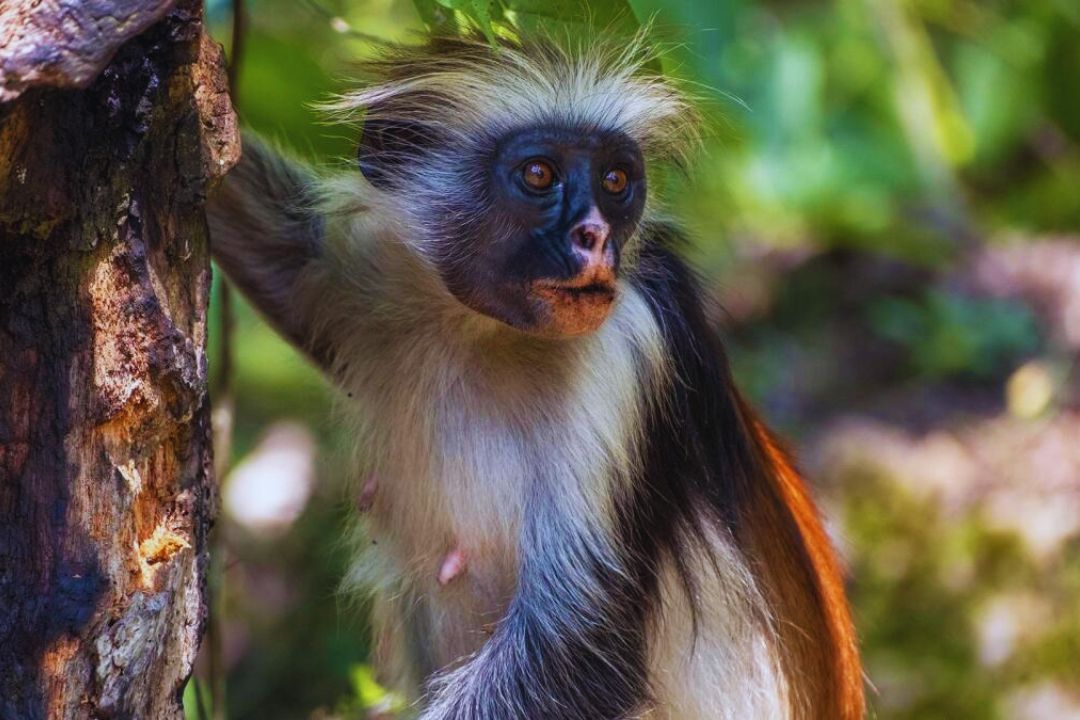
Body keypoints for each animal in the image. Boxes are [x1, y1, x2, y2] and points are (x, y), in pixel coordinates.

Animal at [207, 32, 865, 720]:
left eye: (615, 181)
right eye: (539, 175)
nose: (595, 236)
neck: (484, 331)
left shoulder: (630, 346)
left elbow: (578, 651)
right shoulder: (372, 274)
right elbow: (284, 253)